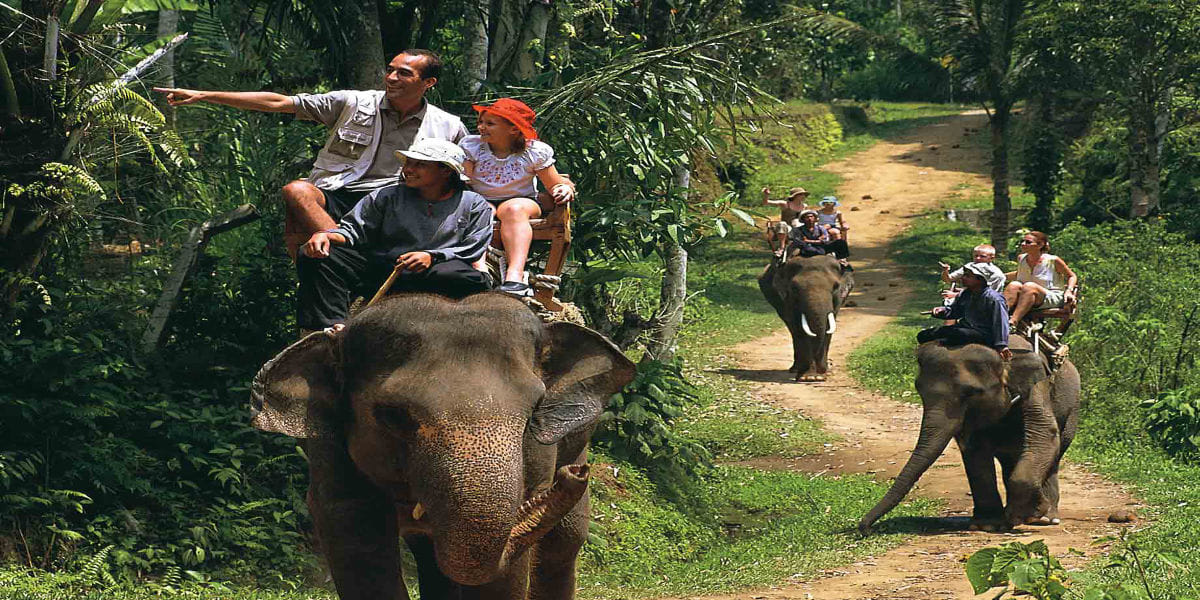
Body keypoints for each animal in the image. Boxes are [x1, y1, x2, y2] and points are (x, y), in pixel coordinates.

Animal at [248, 293, 635, 600]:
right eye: (393, 415)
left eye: (534, 410)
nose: (574, 474)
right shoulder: (329, 449)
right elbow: (355, 529)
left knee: (565, 542)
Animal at [858, 334, 1081, 534]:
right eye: (919, 390)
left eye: (972, 393)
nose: (865, 528)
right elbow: (974, 449)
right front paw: (988, 525)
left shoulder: (1036, 388)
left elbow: (1044, 434)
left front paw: (1025, 515)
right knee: (1011, 459)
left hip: (1071, 411)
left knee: (1053, 454)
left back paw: (1045, 518)